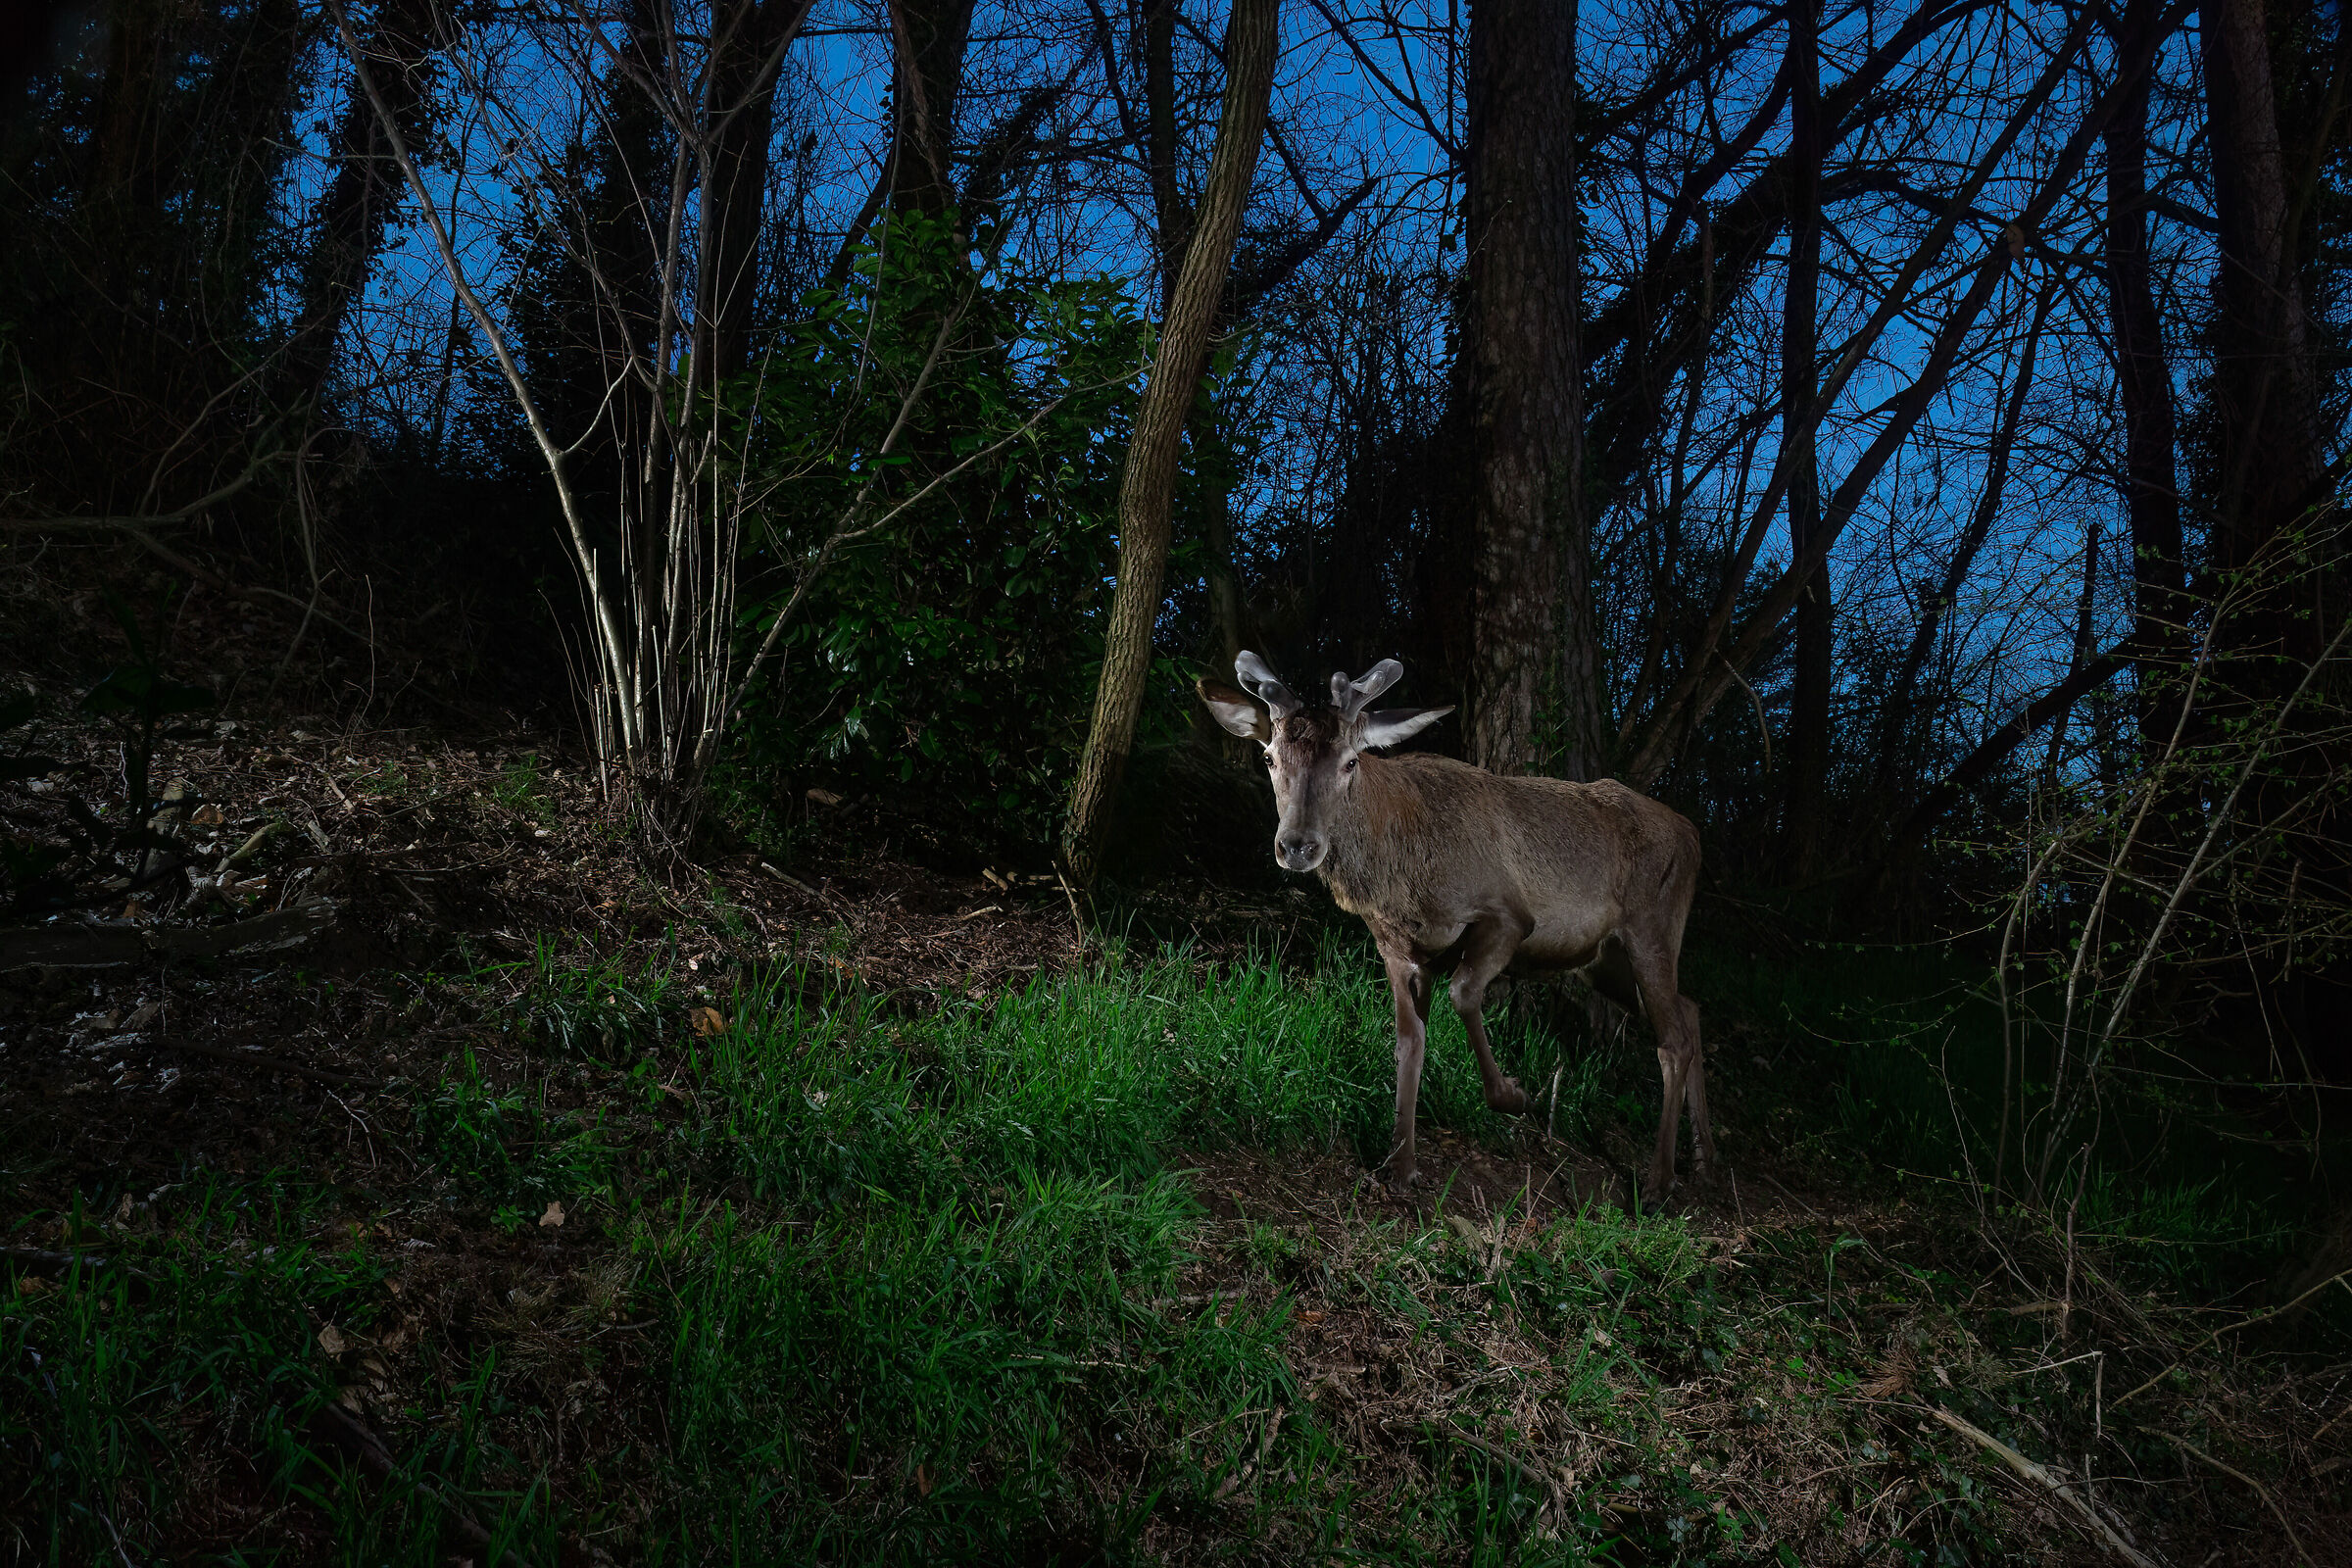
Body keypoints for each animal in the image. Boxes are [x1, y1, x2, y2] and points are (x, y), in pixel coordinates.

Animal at [1198, 652, 1714, 1203]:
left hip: (1652, 926)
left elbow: (1464, 992)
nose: (1297, 845)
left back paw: (1660, 1181)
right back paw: (1704, 1160)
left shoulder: (1509, 915)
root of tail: (1693, 833)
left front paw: (1513, 1095)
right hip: (1601, 959)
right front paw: (1400, 1164)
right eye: (1270, 758)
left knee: (1673, 1039)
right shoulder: (1396, 945)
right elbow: (1409, 1041)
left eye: (1351, 761)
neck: (1402, 879)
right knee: (1689, 1009)